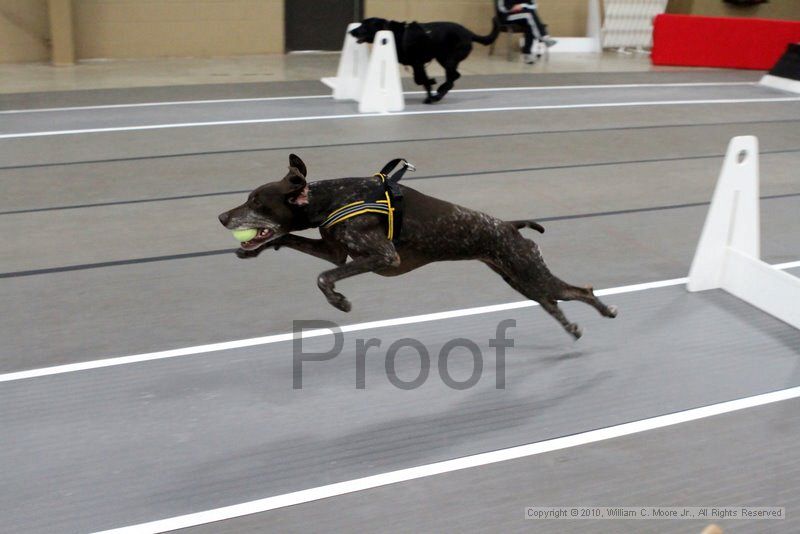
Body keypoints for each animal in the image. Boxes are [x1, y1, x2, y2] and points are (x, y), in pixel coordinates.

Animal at [219, 155, 620, 340]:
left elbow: (323, 277)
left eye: (257, 202)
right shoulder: (335, 251)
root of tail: (509, 226)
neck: (334, 199)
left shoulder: (381, 255)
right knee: (554, 302)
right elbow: (288, 240)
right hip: (521, 280)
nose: (222, 217)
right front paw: (252, 250)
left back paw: (607, 311)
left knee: (580, 290)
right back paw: (573, 328)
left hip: (530, 272)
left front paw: (339, 301)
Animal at [352, 17, 500, 103]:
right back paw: (438, 93)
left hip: (447, 59)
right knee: (453, 77)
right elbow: (421, 80)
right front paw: (429, 92)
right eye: (361, 23)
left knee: (453, 77)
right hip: (444, 58)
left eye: (364, 25)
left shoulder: (418, 62)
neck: (394, 34)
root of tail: (469, 33)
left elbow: (420, 80)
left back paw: (439, 93)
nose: (351, 31)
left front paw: (431, 87)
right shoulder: (418, 65)